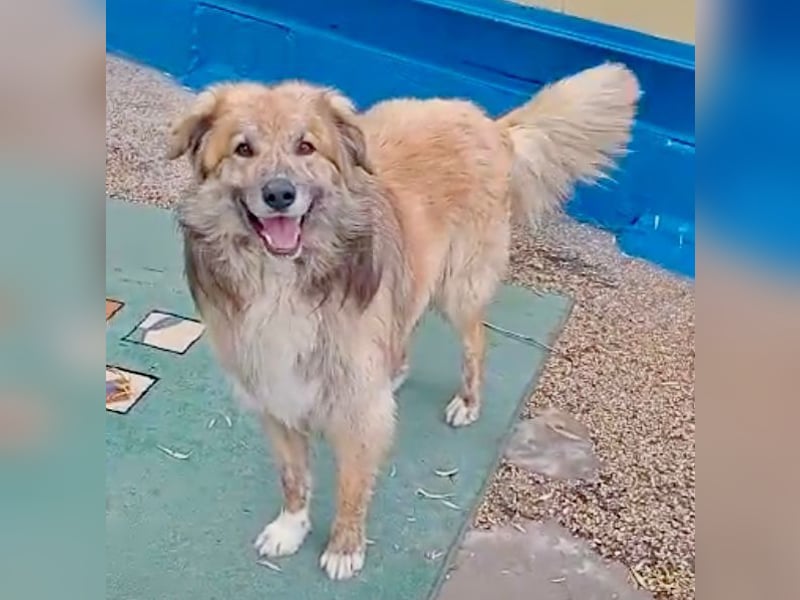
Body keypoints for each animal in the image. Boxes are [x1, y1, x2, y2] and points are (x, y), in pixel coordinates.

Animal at [167, 63, 639, 580]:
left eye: (305, 146)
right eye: (243, 148)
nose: (279, 194)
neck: (287, 278)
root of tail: (488, 124)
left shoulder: (357, 410)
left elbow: (353, 485)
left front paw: (345, 547)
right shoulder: (275, 396)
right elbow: (293, 478)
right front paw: (291, 528)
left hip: (459, 289)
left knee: (476, 342)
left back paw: (467, 402)